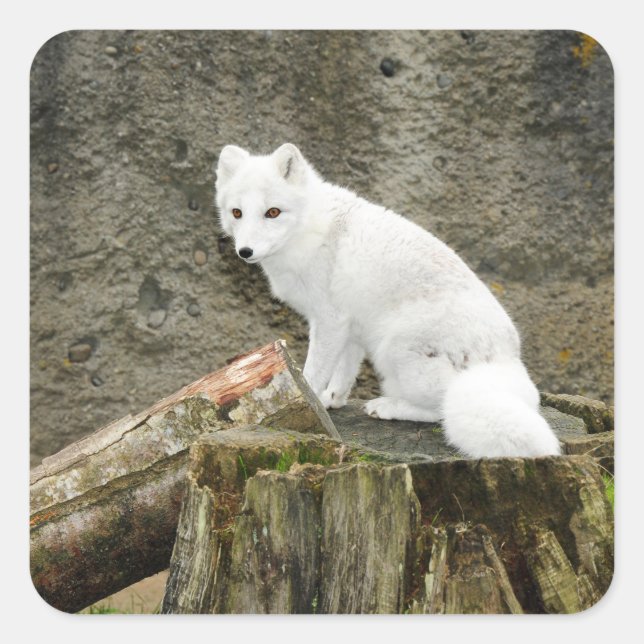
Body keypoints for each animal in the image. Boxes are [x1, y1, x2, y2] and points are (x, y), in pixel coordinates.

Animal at [214, 142, 561, 458]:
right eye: (237, 213)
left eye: (272, 212)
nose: (245, 251)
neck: (310, 229)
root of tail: (506, 362)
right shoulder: (350, 326)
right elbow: (345, 370)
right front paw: (332, 400)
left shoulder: (329, 320)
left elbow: (312, 373)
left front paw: (307, 402)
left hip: (394, 348)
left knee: (441, 411)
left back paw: (386, 407)